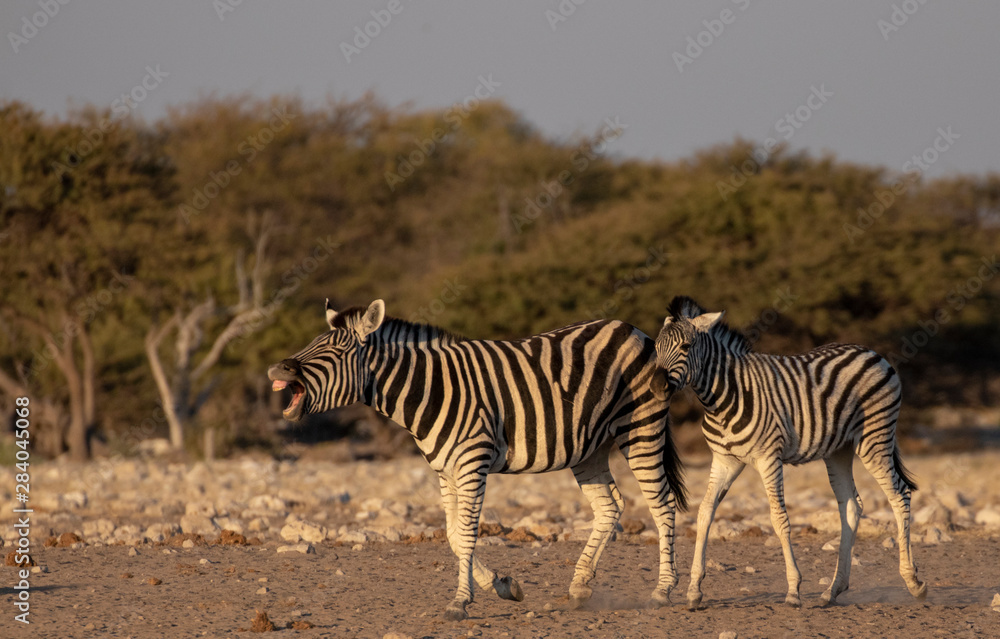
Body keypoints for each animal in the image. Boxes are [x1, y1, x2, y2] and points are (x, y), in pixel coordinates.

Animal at [268, 299, 687, 620]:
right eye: (312, 343)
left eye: (333, 352)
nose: (277, 368)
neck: (428, 391)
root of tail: (633, 329)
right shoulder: (445, 470)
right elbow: (454, 534)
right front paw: (503, 585)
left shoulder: (473, 462)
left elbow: (467, 534)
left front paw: (460, 603)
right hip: (589, 446)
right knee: (610, 506)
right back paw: (580, 586)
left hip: (641, 427)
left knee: (662, 504)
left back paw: (663, 591)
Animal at [649, 296, 925, 609]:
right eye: (656, 348)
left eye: (685, 347)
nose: (656, 386)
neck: (722, 398)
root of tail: (872, 352)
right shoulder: (725, 461)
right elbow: (705, 512)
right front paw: (694, 590)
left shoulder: (769, 457)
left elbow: (778, 518)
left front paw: (793, 590)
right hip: (838, 450)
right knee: (852, 505)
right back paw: (832, 590)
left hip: (874, 439)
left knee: (899, 495)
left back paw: (913, 582)